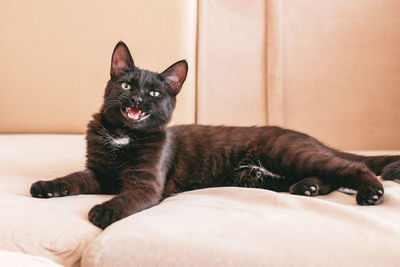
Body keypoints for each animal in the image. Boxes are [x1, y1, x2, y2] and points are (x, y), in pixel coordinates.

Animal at [30, 40, 400, 229]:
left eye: (154, 94)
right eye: (126, 86)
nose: (136, 100)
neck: (124, 135)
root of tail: (308, 137)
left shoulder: (145, 185)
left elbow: (126, 198)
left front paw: (104, 211)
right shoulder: (99, 173)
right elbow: (73, 178)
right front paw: (47, 186)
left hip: (289, 153)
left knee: (350, 168)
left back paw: (370, 193)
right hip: (269, 173)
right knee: (327, 177)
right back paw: (306, 188)